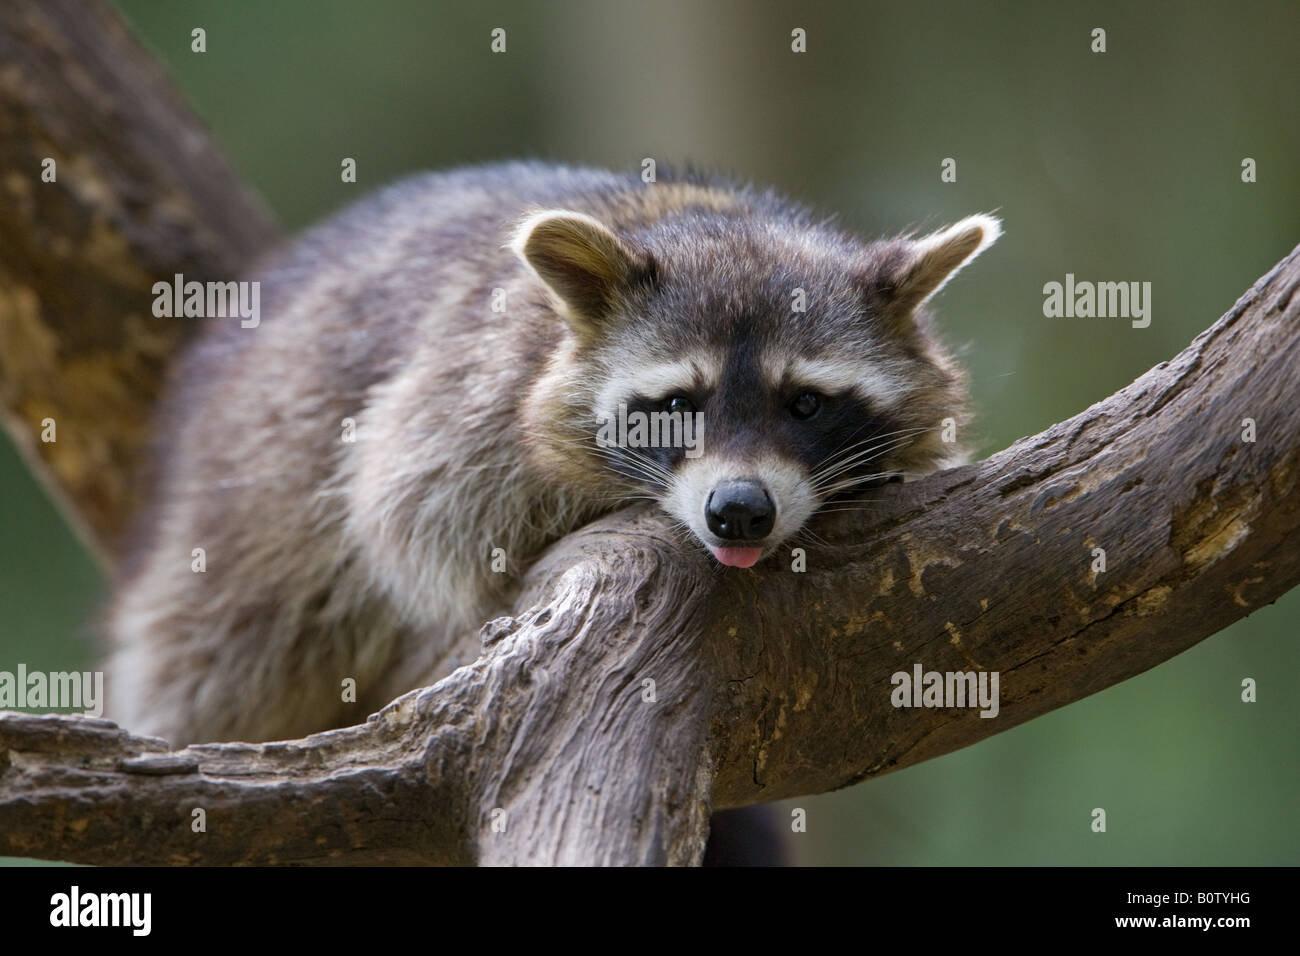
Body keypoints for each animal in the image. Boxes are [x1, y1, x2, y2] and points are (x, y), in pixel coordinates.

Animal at [104, 160, 993, 749]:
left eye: (805, 403)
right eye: (679, 406)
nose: (739, 511)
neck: (707, 217)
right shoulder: (467, 392)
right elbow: (413, 513)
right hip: (236, 522)